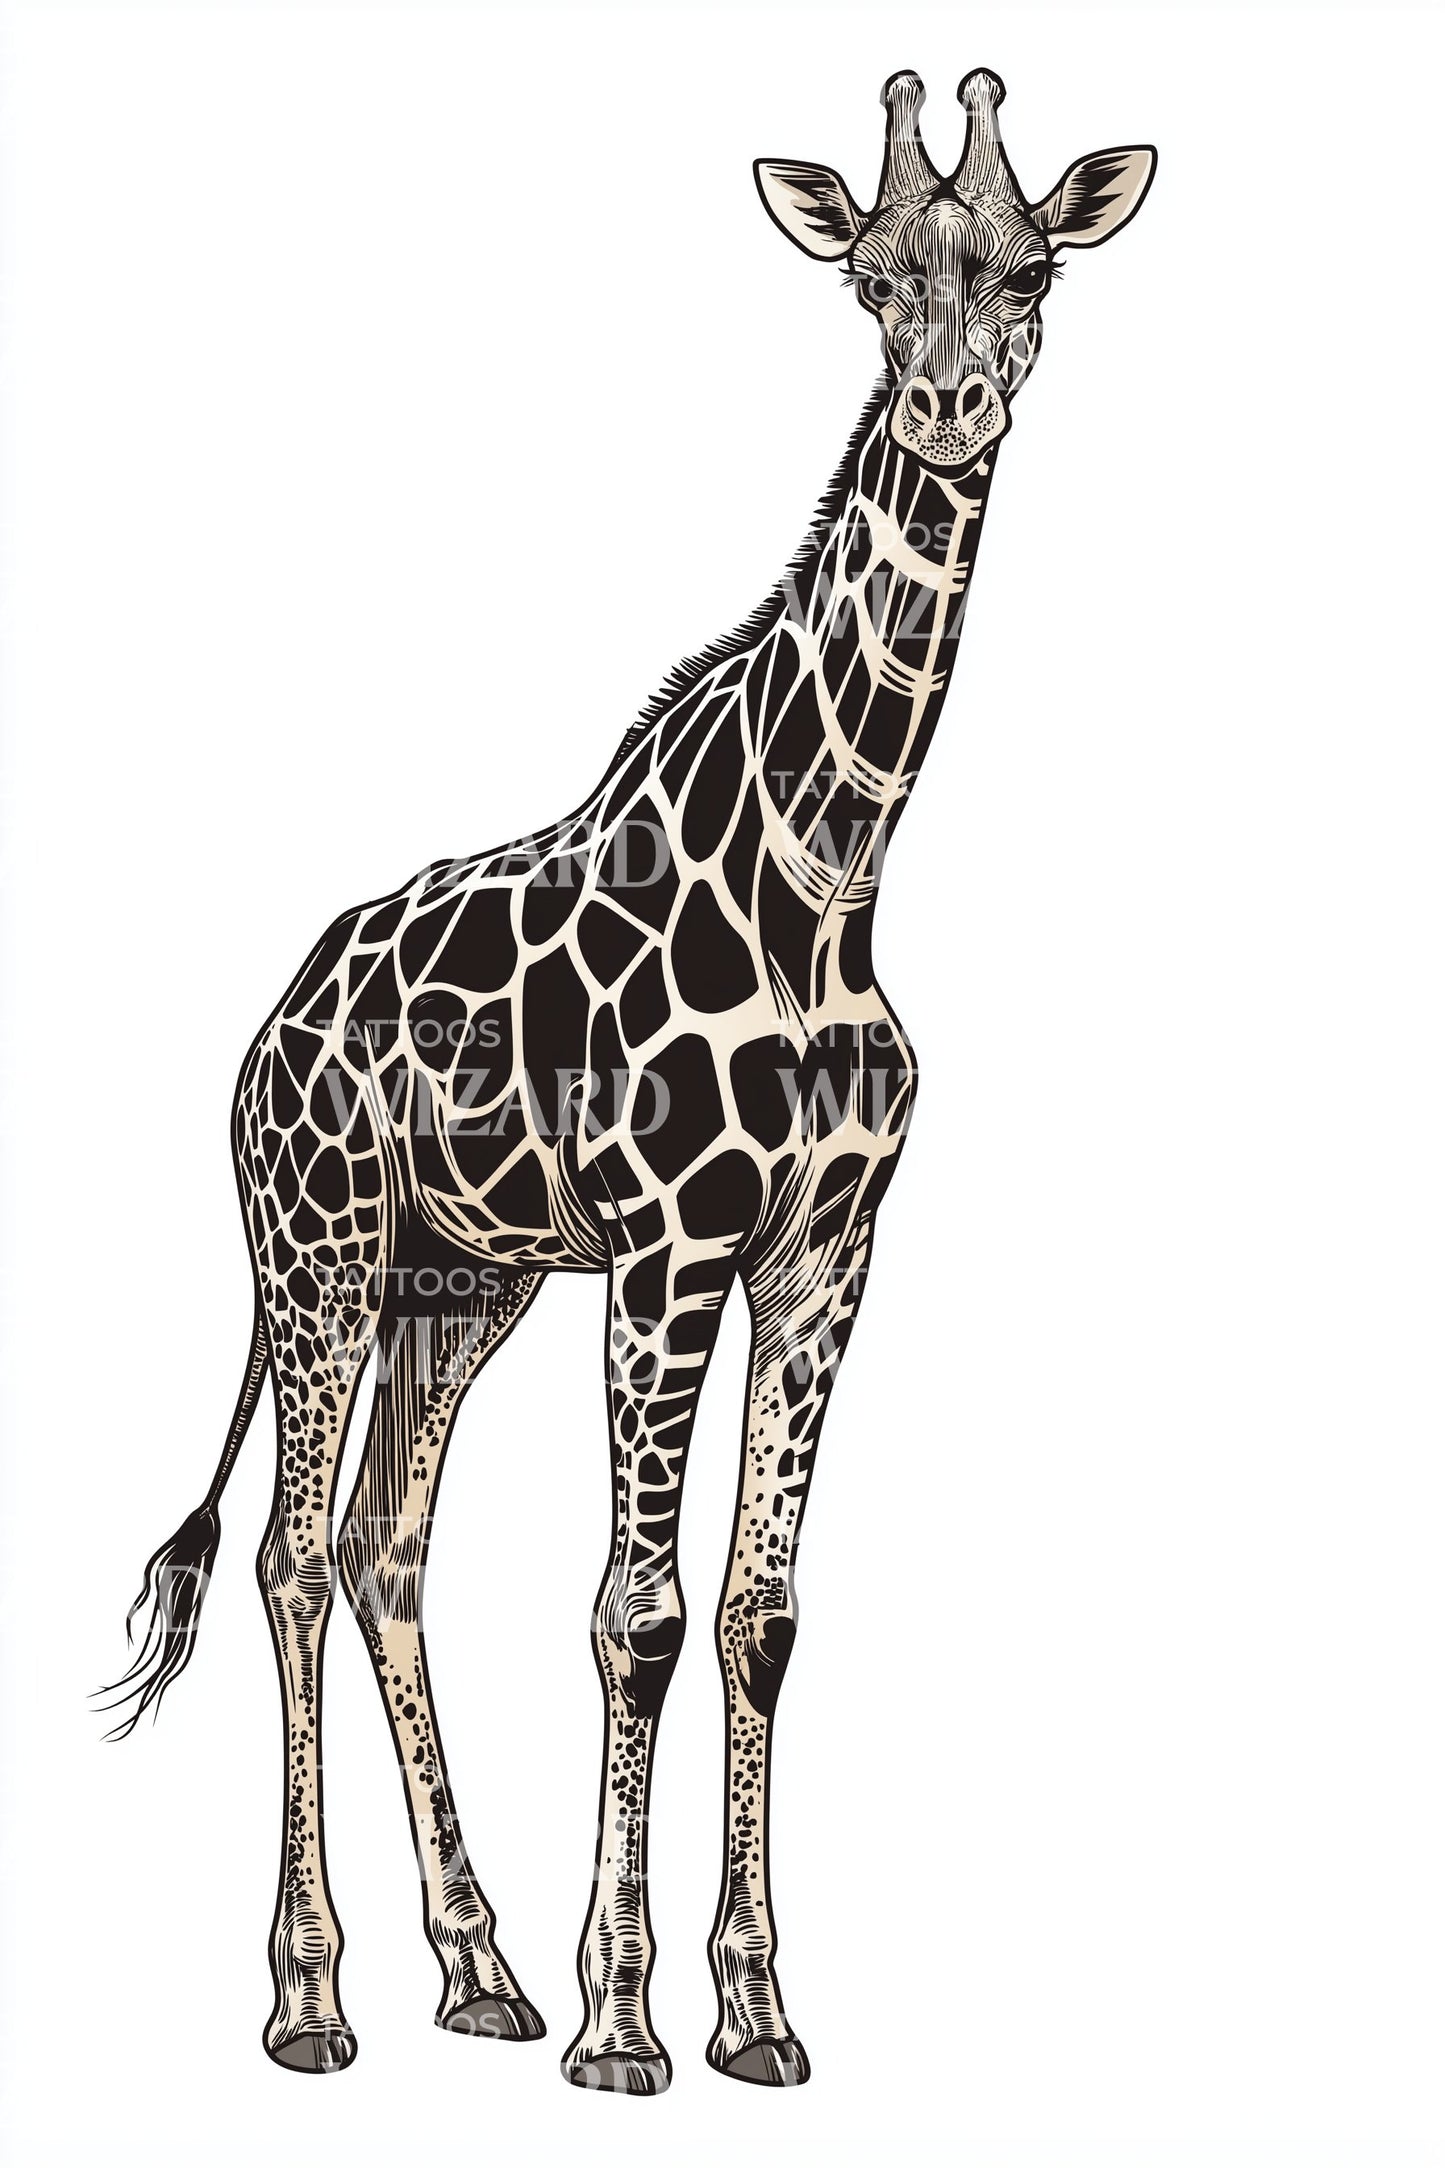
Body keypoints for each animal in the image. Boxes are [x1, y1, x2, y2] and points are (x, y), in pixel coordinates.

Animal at [102, 68, 1156, 2091]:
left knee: (384, 1545)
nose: (952, 402)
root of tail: (267, 1024)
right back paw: (314, 1997)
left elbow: (759, 1613)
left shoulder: (822, 1254)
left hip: (461, 1281)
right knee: (288, 1553)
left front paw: (752, 2008)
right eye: (873, 279)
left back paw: (473, 1968)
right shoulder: (672, 1250)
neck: (833, 869)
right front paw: (621, 2020)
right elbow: (637, 1613)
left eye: (1033, 269)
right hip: (317, 1255)